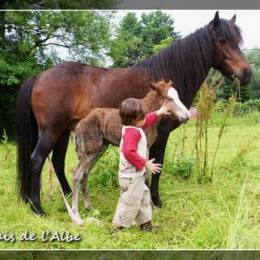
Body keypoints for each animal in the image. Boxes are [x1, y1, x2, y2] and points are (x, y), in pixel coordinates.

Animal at [62, 80, 190, 224]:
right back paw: (76, 213)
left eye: (177, 96)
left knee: (85, 173)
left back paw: (89, 207)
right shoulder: (142, 147)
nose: (187, 116)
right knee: (77, 174)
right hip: (91, 149)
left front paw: (151, 207)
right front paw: (150, 208)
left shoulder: (147, 147)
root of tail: (80, 124)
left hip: (99, 149)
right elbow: (146, 176)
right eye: (169, 99)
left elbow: (146, 174)